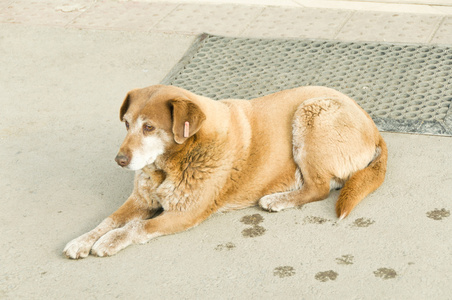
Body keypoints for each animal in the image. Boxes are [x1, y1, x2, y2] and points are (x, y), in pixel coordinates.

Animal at [64, 84, 388, 258]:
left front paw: (109, 241)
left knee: (318, 188)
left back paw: (278, 199)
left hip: (312, 112)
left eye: (149, 128)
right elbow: (108, 220)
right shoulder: (141, 200)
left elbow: (134, 227)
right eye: (127, 124)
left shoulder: (184, 213)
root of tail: (374, 127)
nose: (119, 159)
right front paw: (83, 240)